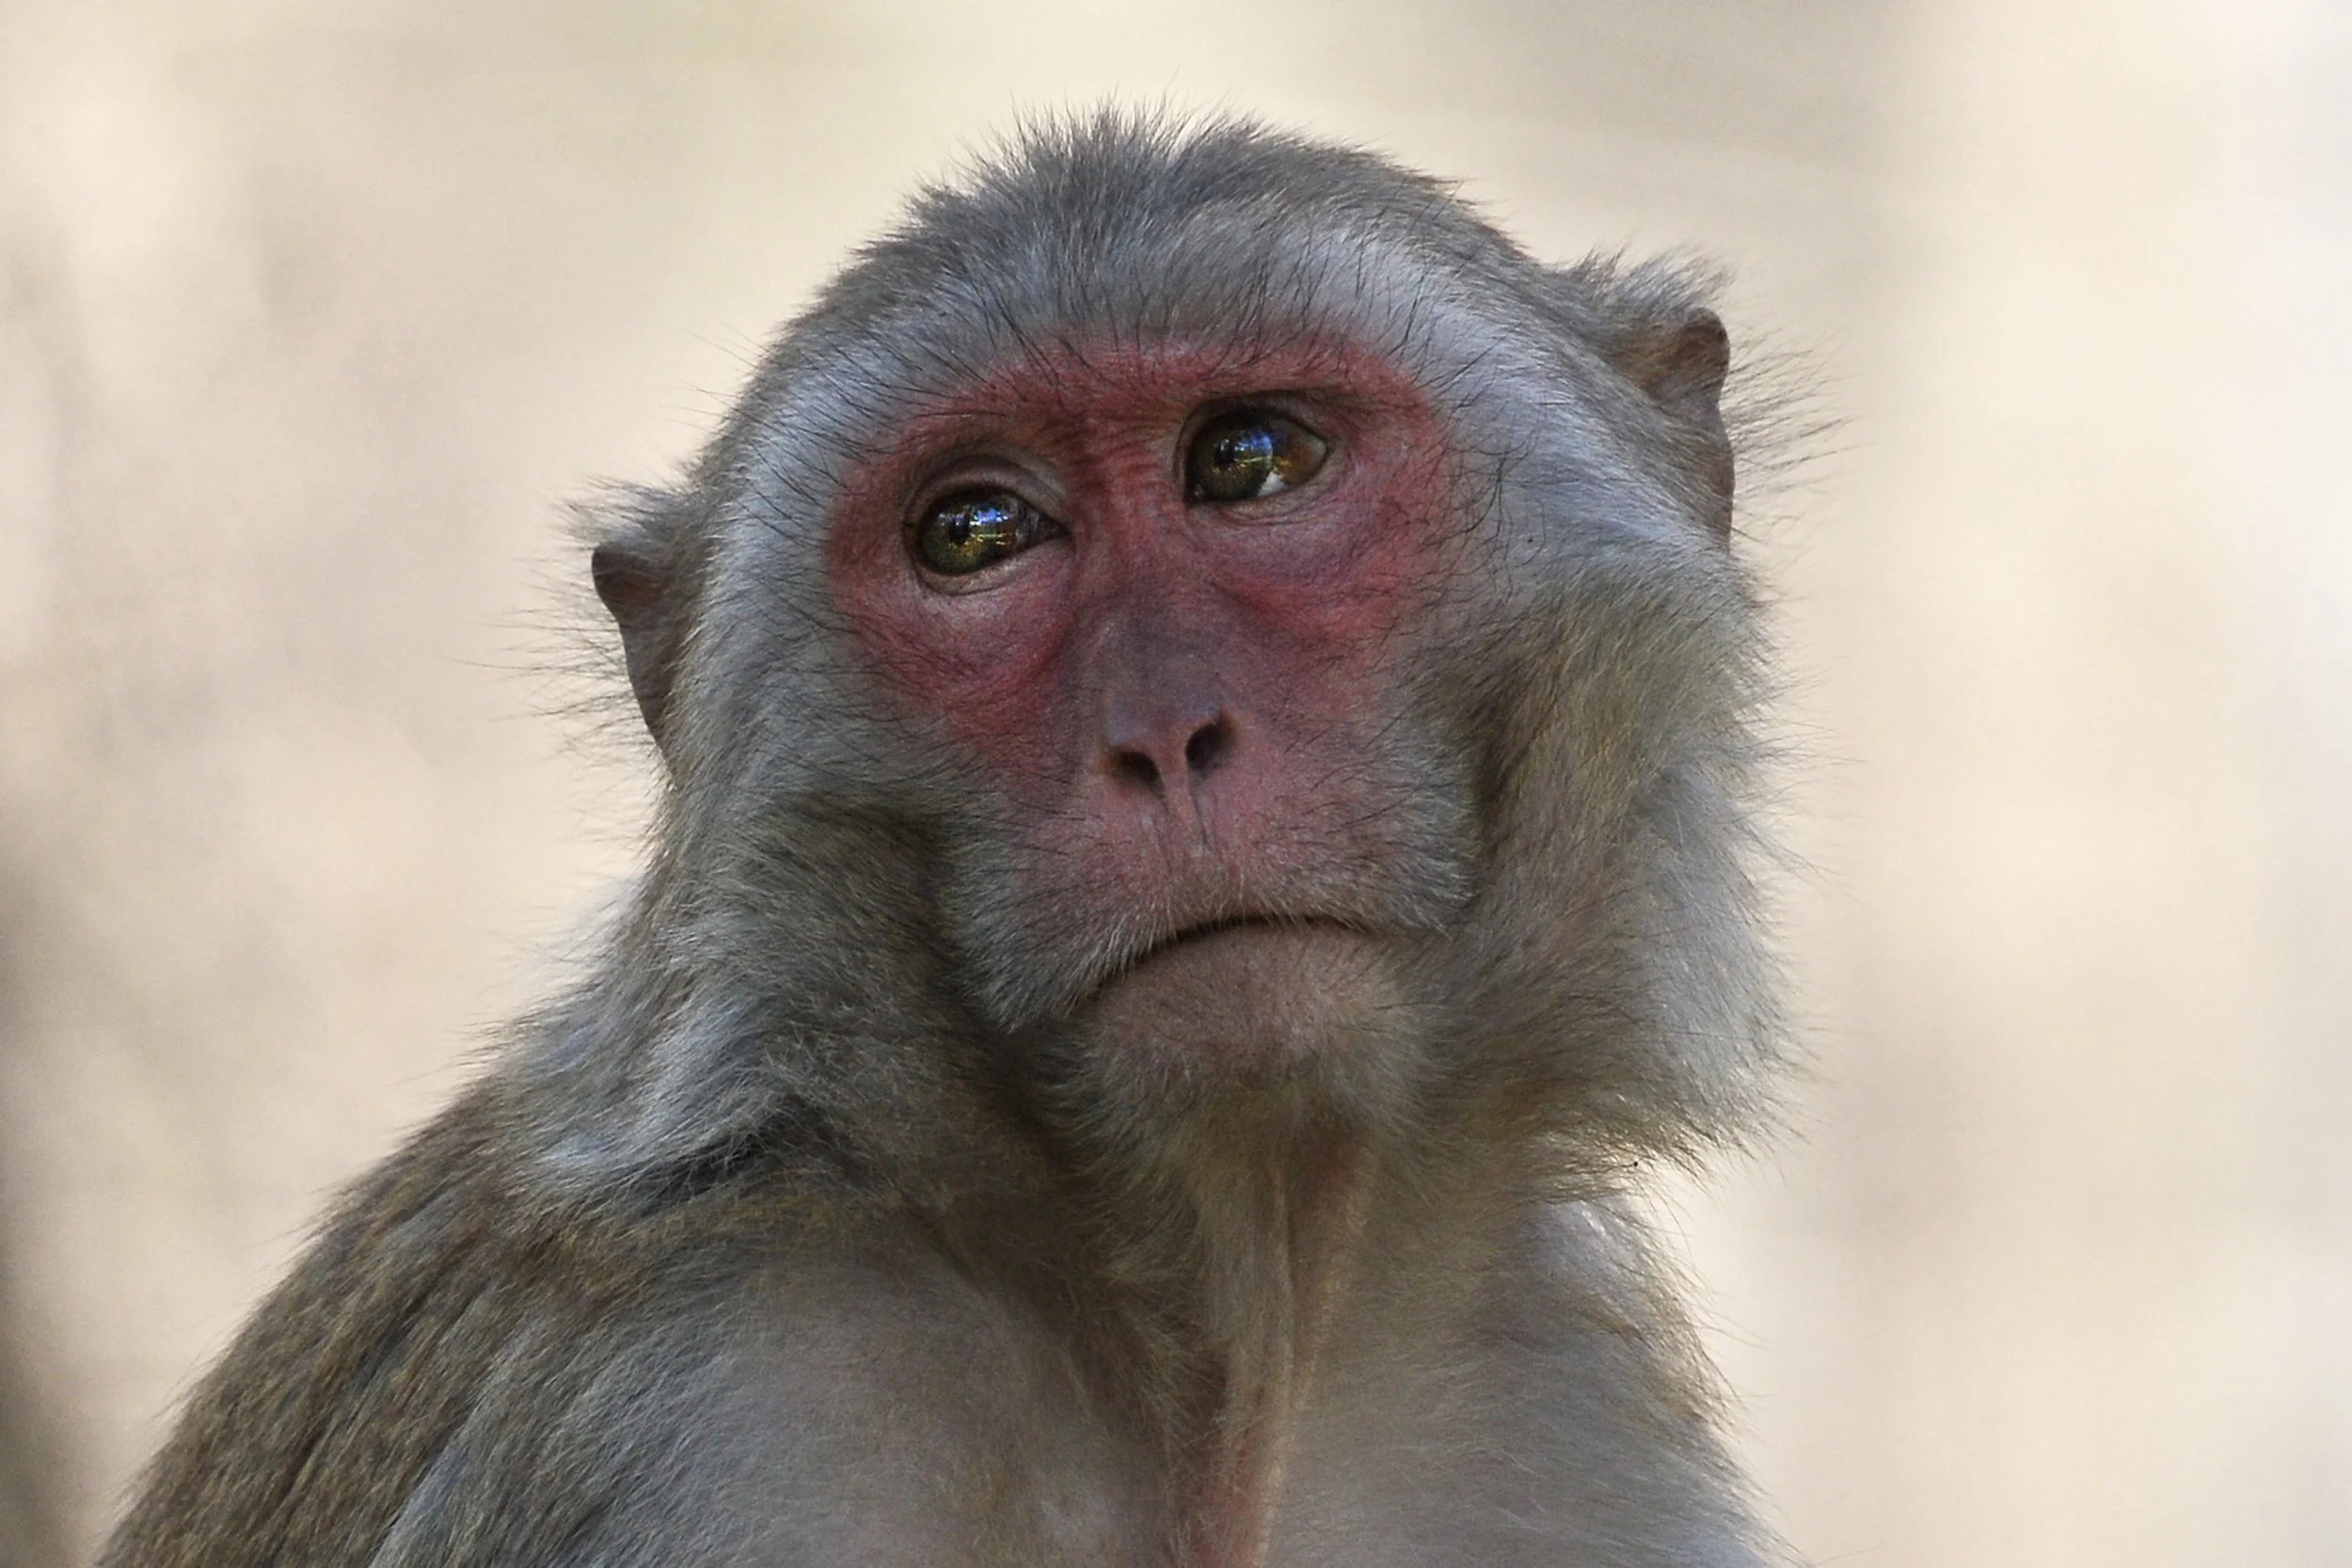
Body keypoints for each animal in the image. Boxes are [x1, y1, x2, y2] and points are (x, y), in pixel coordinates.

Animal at [101, 112, 1785, 1568]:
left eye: (1250, 458)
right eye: (977, 534)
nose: (1164, 735)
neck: (1210, 1343)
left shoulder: (1571, 1413)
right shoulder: (706, 1401)